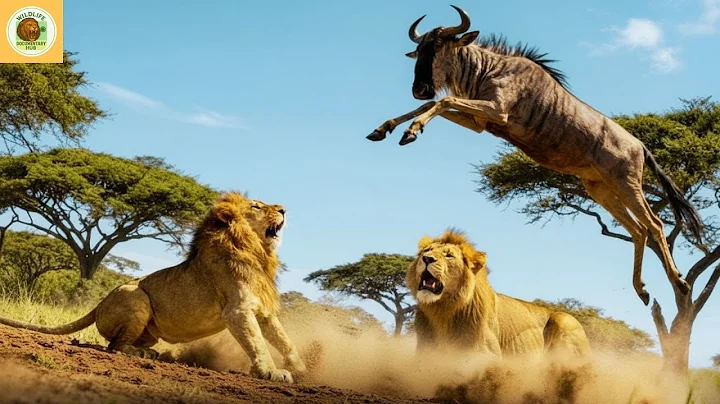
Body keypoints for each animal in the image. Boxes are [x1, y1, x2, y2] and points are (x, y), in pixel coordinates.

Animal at [0, 192, 306, 384]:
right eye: (256, 206)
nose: (283, 210)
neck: (257, 251)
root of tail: (98, 304)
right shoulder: (237, 310)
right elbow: (258, 344)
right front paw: (272, 372)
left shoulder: (263, 311)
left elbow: (285, 340)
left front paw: (303, 368)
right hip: (136, 297)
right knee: (114, 346)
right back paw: (144, 355)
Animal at [408, 229, 590, 358]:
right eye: (426, 251)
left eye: (449, 255)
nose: (427, 258)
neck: (442, 311)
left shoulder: (486, 355)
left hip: (564, 320)